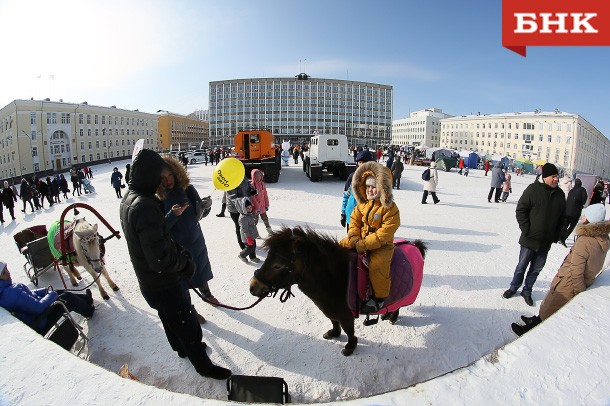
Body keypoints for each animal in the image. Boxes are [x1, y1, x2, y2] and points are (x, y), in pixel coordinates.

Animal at [249, 227, 426, 356]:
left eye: (277, 265)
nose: (252, 286)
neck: (336, 277)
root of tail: (414, 245)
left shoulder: (346, 314)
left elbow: (349, 330)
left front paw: (350, 346)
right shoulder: (330, 309)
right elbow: (333, 321)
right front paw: (333, 333)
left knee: (399, 306)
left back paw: (392, 317)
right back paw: (387, 314)